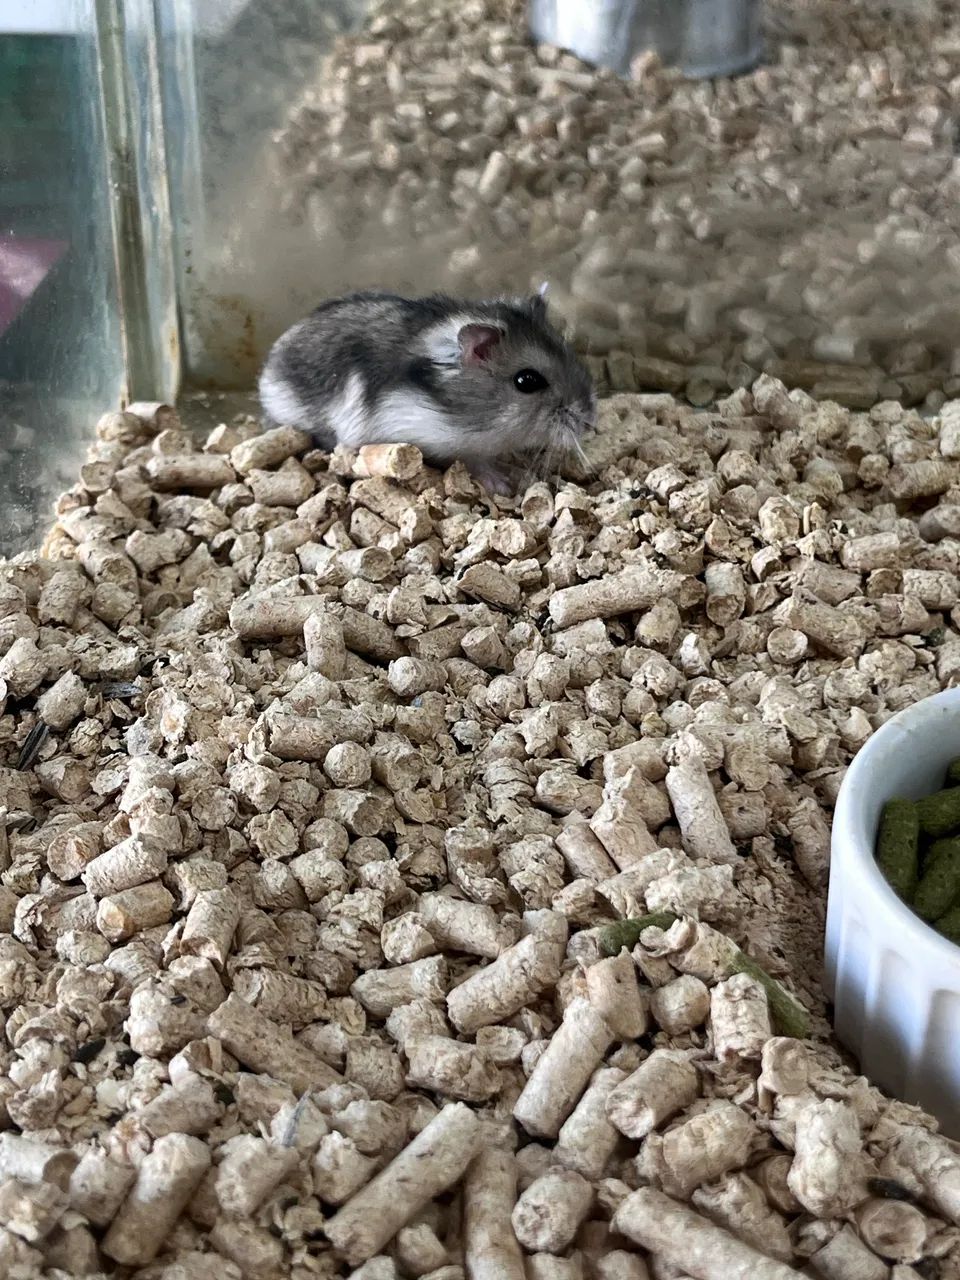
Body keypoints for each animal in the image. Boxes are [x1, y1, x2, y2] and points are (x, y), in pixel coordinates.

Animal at [258, 290, 596, 492]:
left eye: (571, 353)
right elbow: (474, 460)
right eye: (527, 381)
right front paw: (503, 484)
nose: (591, 423)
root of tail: (268, 368)